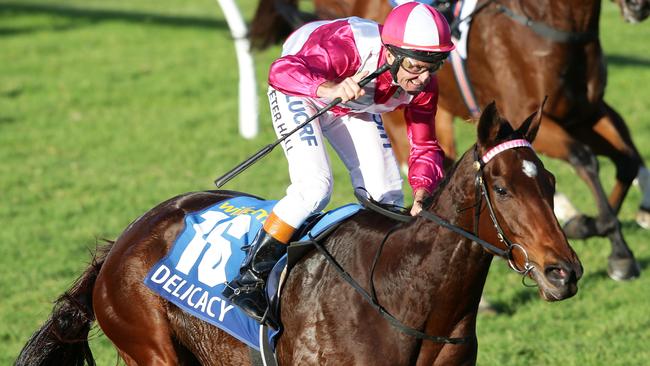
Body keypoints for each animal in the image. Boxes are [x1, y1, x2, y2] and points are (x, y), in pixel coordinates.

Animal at [16, 101, 584, 364]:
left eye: (551, 182)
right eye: (503, 188)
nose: (565, 272)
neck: (405, 298)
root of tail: (121, 245)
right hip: (150, 348)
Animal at [246, 0, 644, 282]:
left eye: (429, 67)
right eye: (502, 190)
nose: (639, 7)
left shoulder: (584, 112)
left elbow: (625, 158)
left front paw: (606, 229)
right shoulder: (530, 114)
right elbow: (586, 158)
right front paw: (612, 243)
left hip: (363, 122)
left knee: (386, 182)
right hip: (309, 104)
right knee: (313, 182)